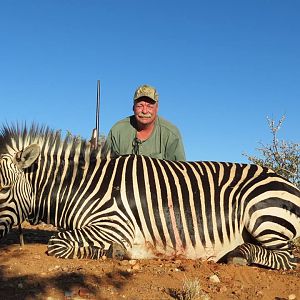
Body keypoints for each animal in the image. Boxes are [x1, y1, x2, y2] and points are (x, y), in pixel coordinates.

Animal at [0, 124, 298, 270]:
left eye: (3, 188)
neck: (82, 185)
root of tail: (286, 180)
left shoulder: (114, 224)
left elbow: (57, 242)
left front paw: (113, 252)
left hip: (261, 217)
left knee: (288, 258)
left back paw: (238, 255)